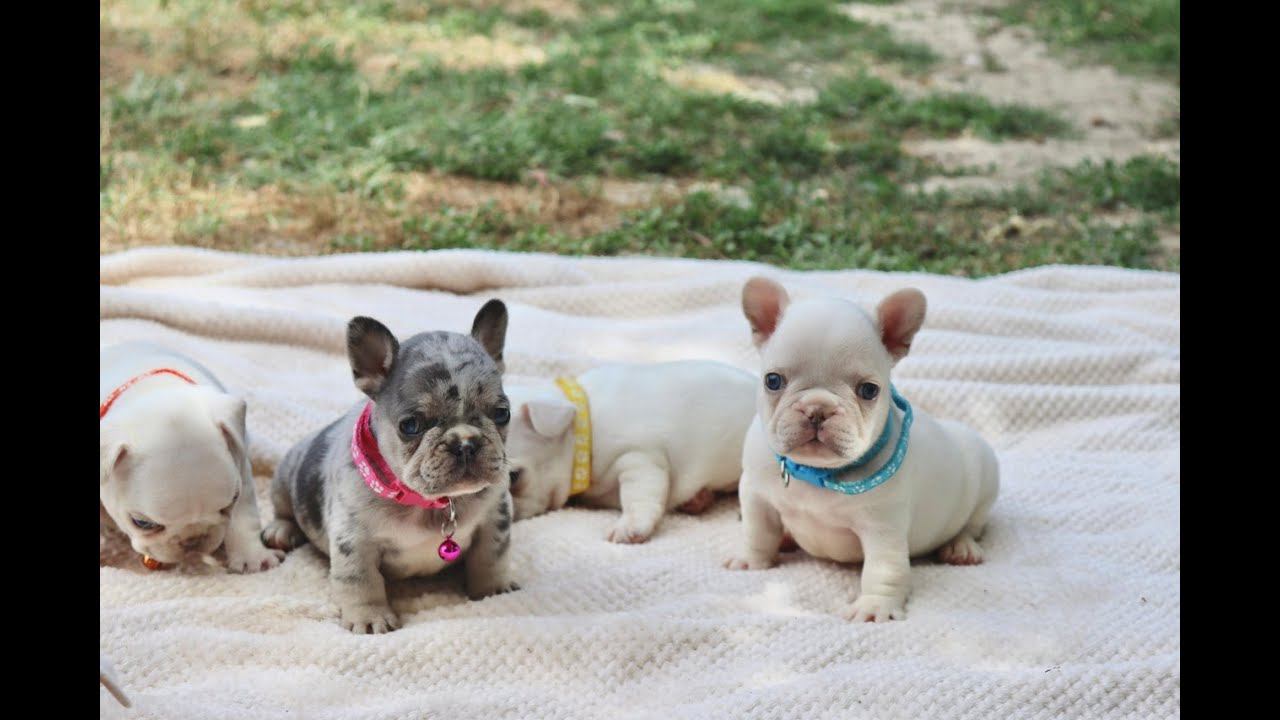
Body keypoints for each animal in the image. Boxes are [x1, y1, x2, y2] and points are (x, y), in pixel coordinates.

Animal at [100, 342, 284, 573]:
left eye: (230, 503)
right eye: (142, 523)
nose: (193, 541)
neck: (155, 391)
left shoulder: (240, 464)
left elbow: (244, 515)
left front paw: (253, 557)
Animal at [262, 301, 518, 633]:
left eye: (502, 413)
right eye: (410, 425)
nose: (465, 442)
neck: (430, 503)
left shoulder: (494, 517)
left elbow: (491, 556)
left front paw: (493, 590)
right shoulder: (353, 541)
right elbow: (361, 581)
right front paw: (370, 618)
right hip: (286, 475)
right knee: (283, 508)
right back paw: (281, 529)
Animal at [725, 277, 999, 622]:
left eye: (869, 390)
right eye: (772, 381)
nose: (817, 409)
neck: (817, 474)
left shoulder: (883, 526)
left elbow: (883, 569)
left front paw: (875, 606)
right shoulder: (756, 494)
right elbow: (757, 531)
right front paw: (752, 560)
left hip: (984, 474)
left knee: (973, 525)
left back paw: (961, 548)